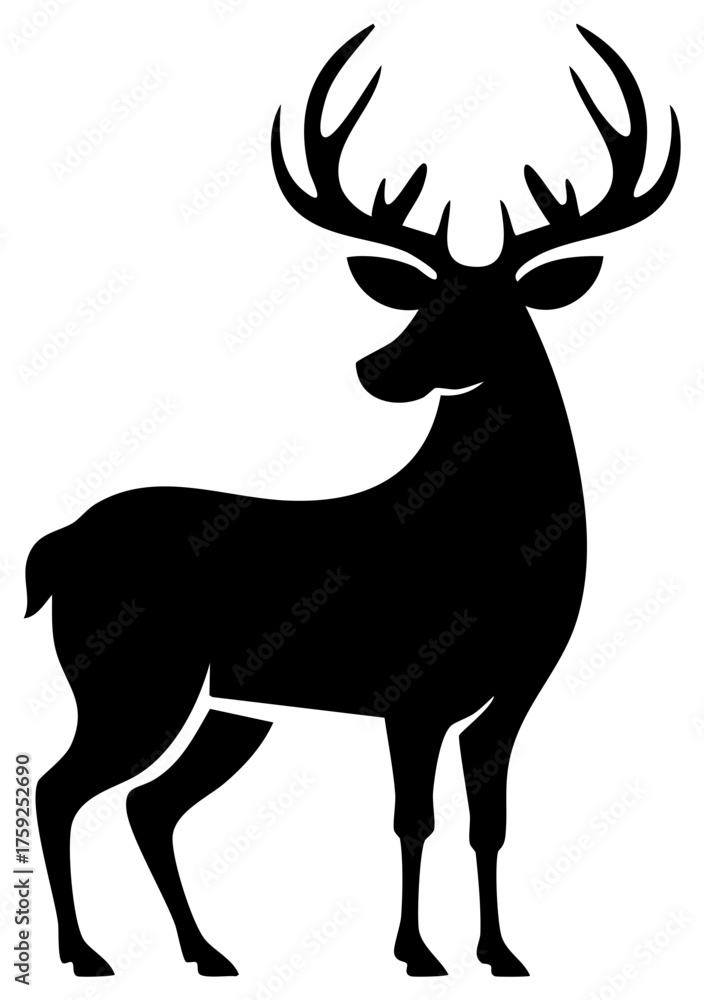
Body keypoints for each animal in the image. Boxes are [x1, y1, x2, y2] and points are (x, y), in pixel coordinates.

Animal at [25, 22, 679, 980]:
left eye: (489, 309)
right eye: (423, 299)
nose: (377, 367)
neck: (497, 543)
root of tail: (59, 544)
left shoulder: (513, 692)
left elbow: (490, 823)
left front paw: (500, 953)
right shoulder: (413, 688)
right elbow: (415, 821)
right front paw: (416, 953)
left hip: (228, 710)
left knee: (151, 805)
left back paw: (206, 953)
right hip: (133, 674)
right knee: (63, 786)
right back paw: (85, 954)